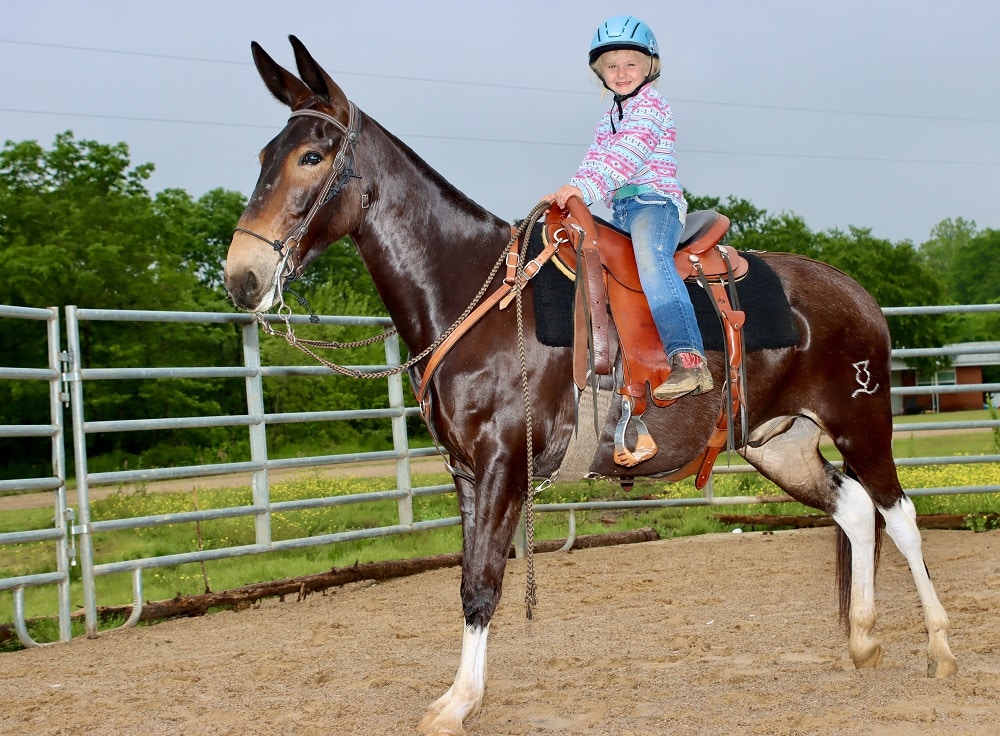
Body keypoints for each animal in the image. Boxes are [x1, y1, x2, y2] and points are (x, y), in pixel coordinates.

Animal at [224, 36, 957, 736]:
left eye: (312, 156)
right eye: (263, 154)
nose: (242, 277)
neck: (478, 301)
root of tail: (859, 297)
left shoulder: (503, 464)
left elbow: (483, 581)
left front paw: (456, 705)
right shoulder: (466, 471)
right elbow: (469, 579)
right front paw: (462, 696)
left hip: (862, 424)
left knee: (900, 516)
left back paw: (941, 647)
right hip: (780, 444)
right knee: (855, 509)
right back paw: (862, 641)